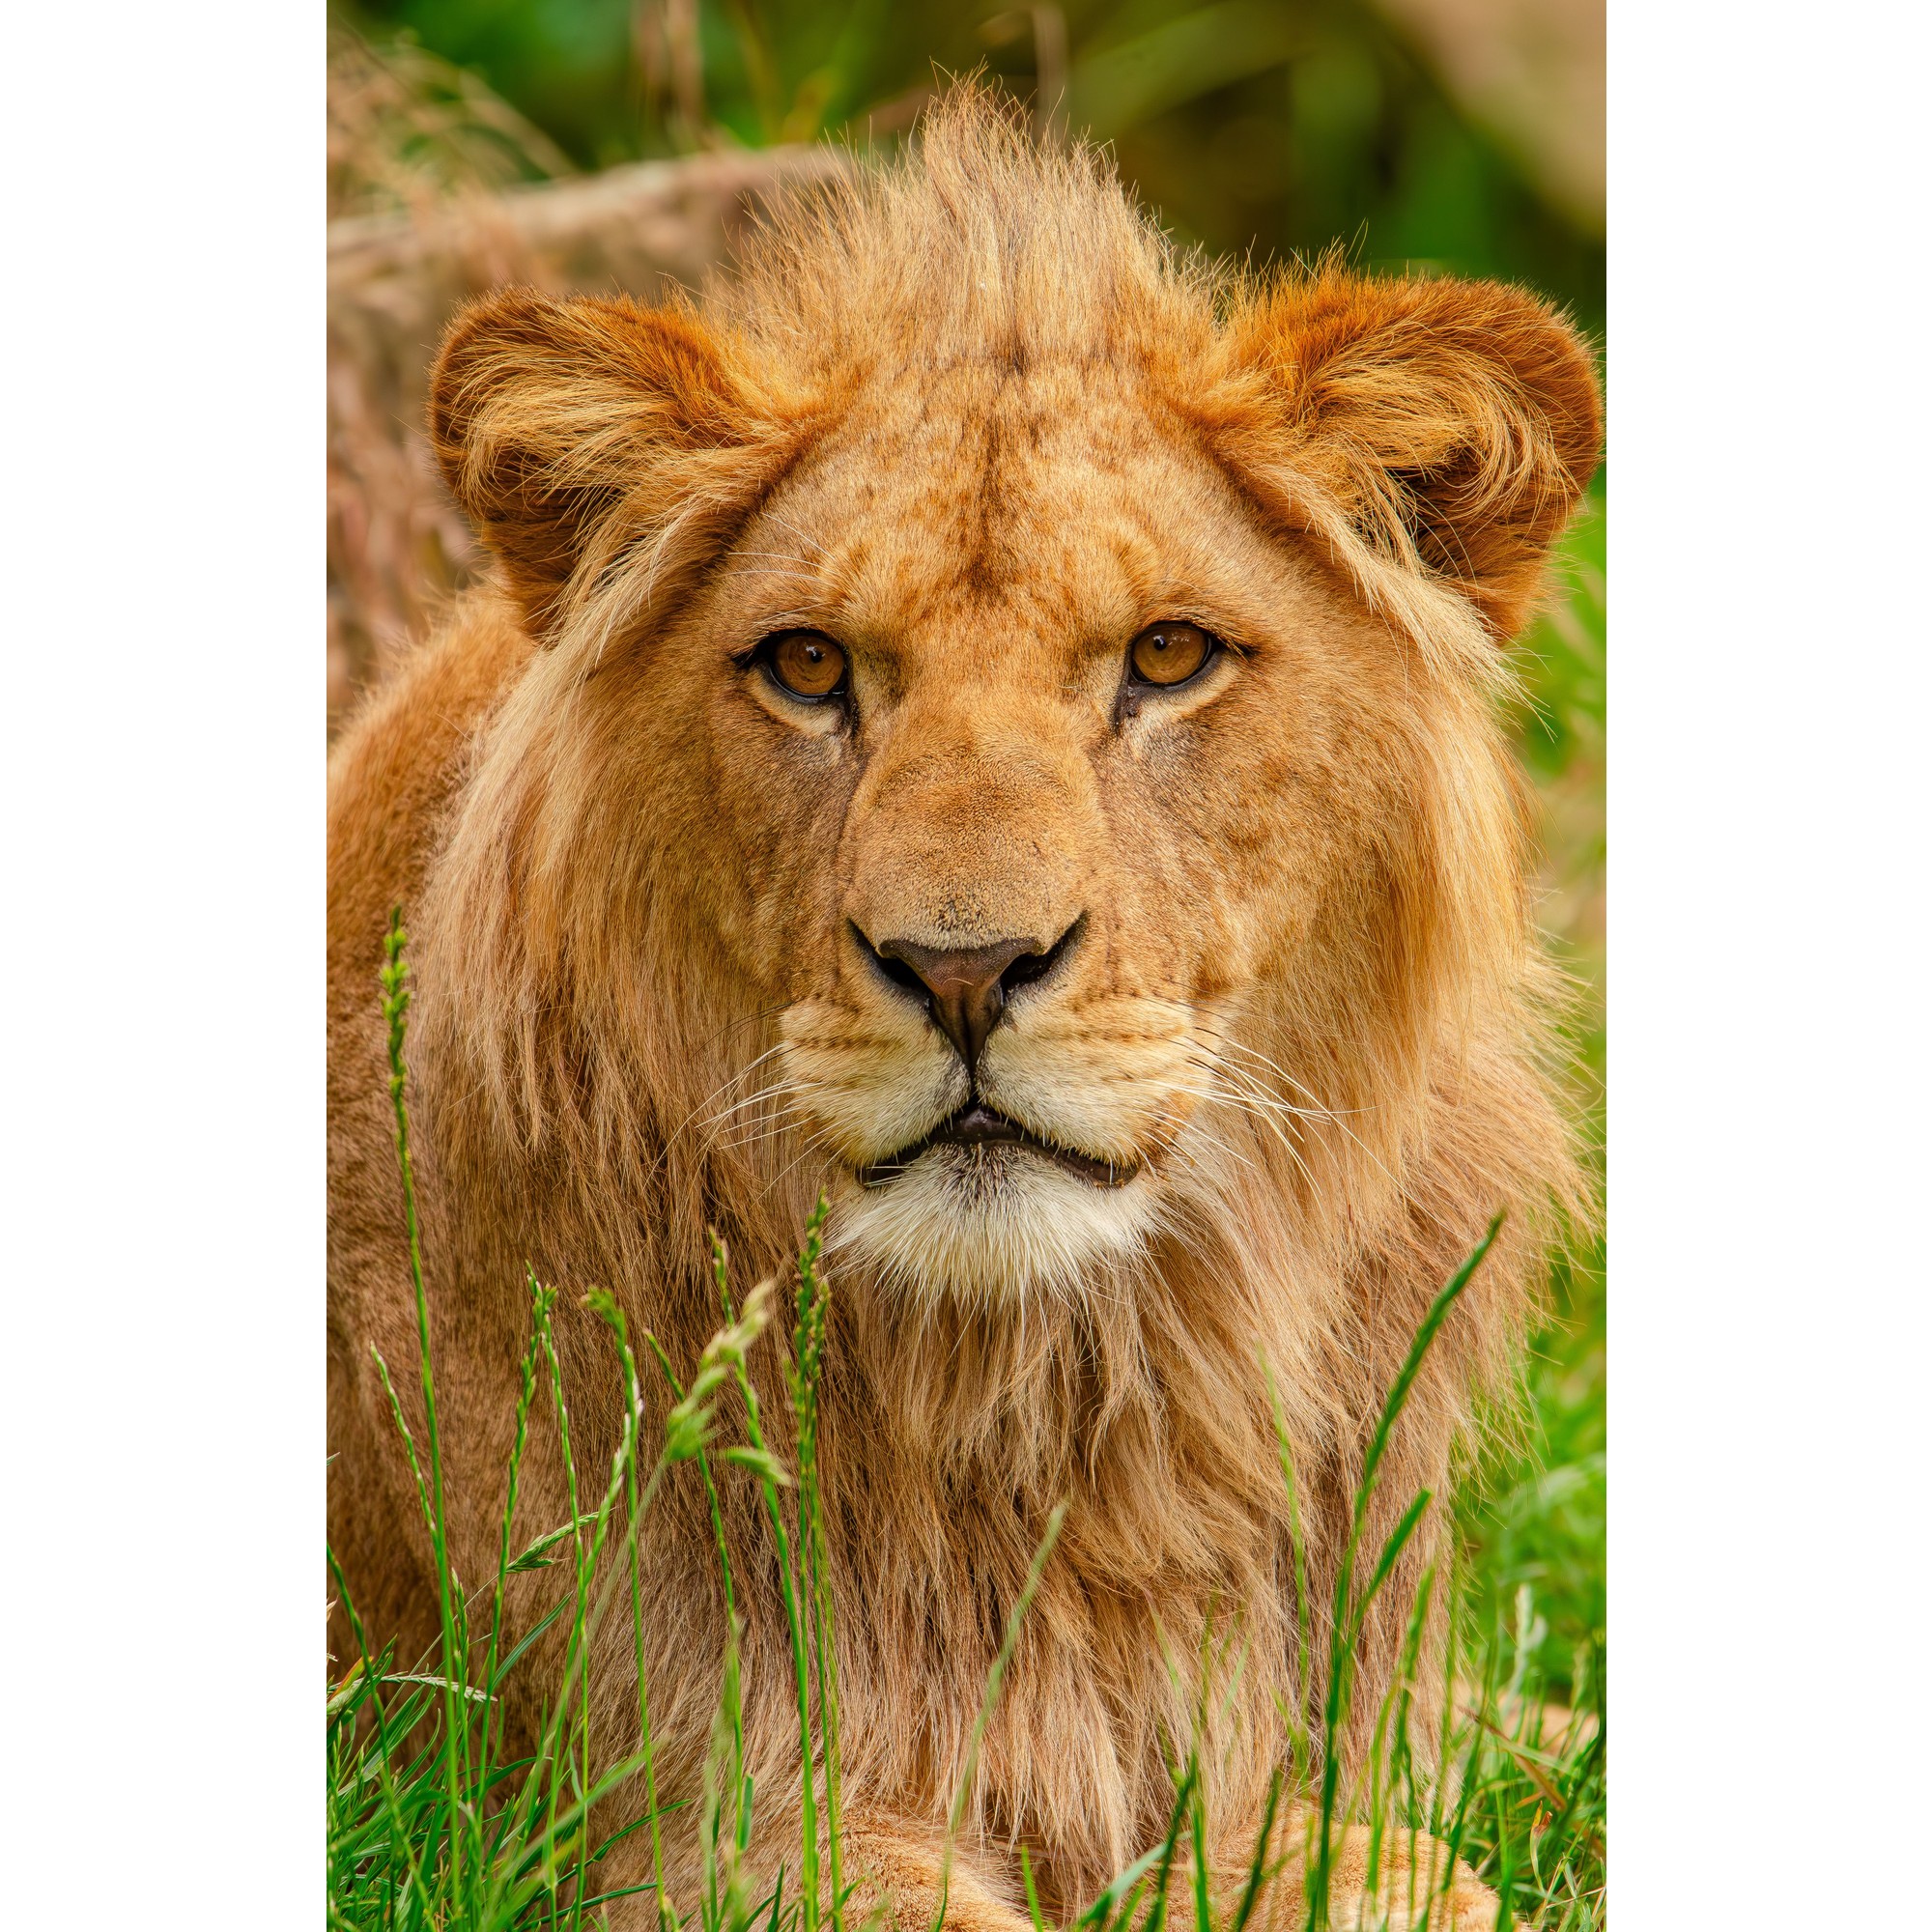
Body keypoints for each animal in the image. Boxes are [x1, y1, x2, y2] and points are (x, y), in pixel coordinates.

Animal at [327, 88, 1600, 1931]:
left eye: (1167, 657)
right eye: (805, 667)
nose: (963, 970)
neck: (1048, 1407)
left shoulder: (1321, 1774)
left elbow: (1408, 1867)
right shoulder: (645, 1822)